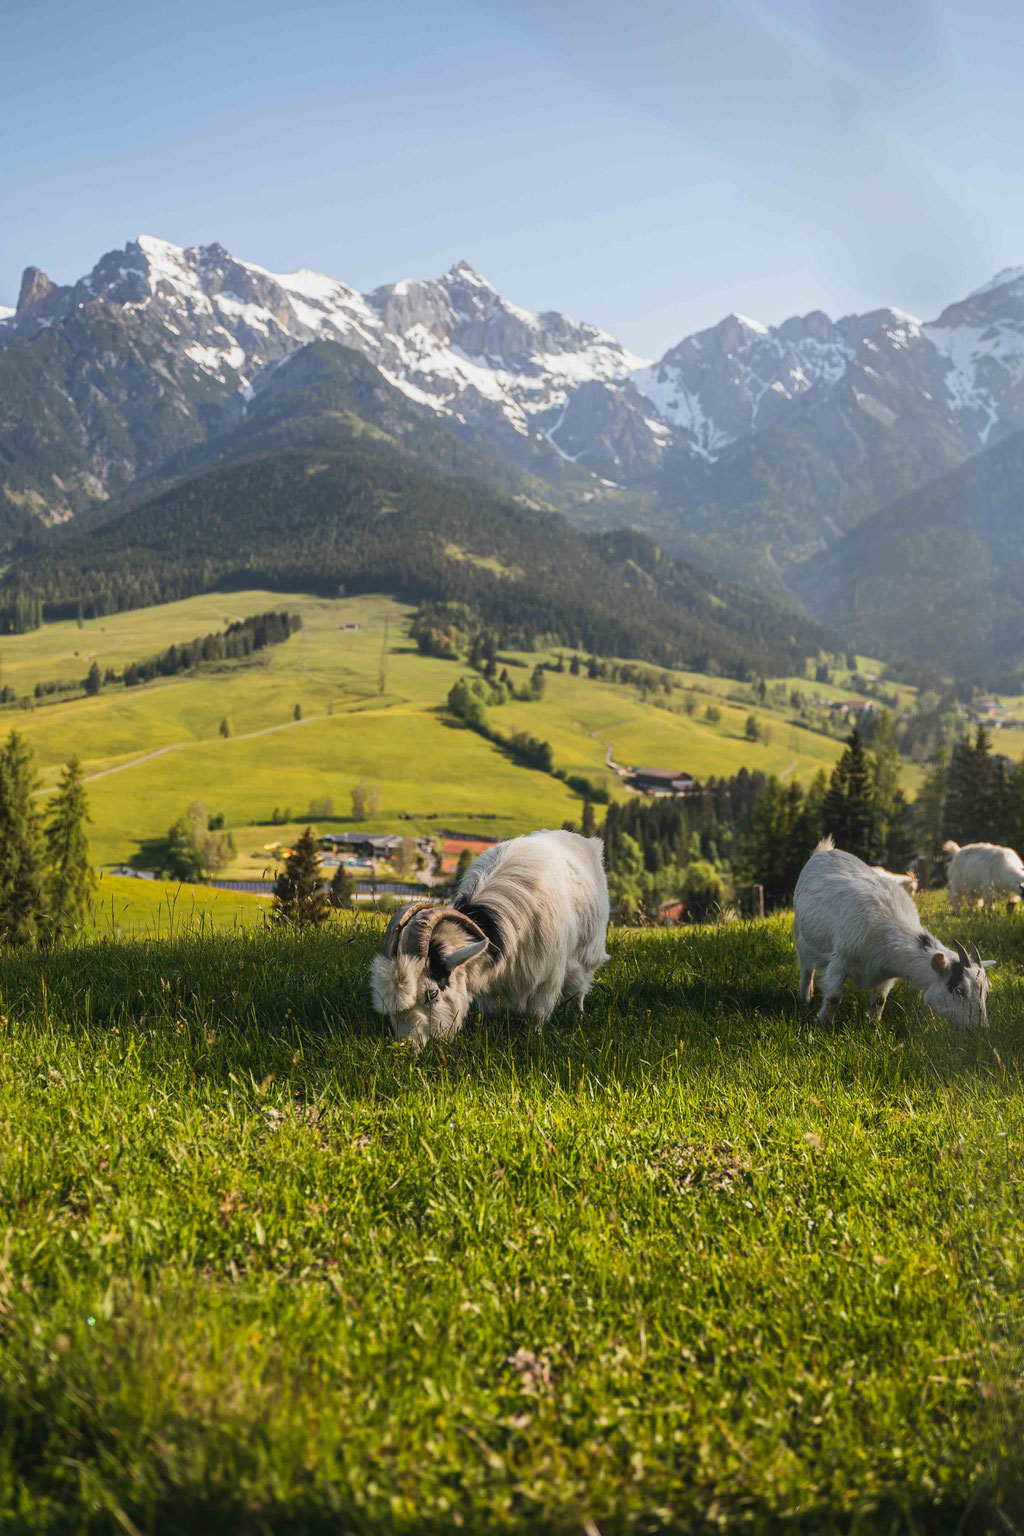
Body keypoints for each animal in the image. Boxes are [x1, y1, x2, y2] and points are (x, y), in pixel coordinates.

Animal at [370, 829, 610, 1048]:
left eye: (432, 994)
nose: (407, 1046)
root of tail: (588, 842)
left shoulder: (547, 978)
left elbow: (537, 1016)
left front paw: (535, 1041)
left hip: (589, 950)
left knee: (581, 986)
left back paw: (578, 1014)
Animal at [794, 838, 993, 1027]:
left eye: (986, 991)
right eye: (959, 989)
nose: (981, 1028)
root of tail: (824, 850)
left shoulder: (886, 976)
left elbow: (879, 1001)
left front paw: (873, 1025)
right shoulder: (839, 961)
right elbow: (834, 998)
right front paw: (822, 1023)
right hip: (800, 932)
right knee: (806, 966)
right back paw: (805, 997)